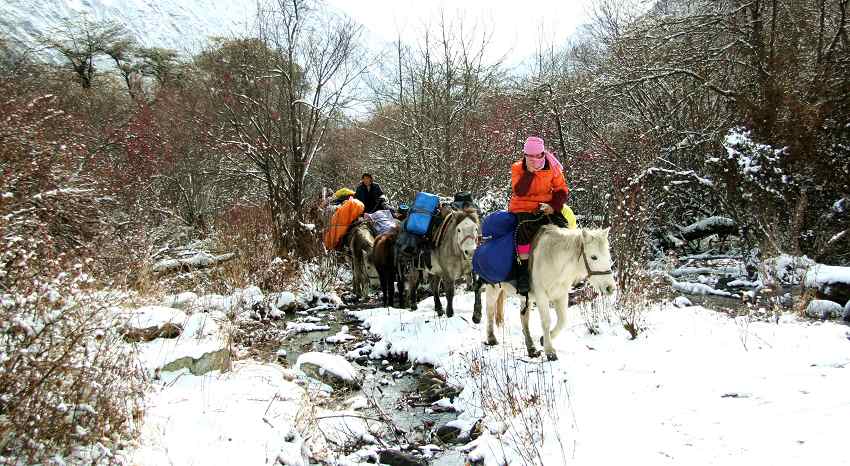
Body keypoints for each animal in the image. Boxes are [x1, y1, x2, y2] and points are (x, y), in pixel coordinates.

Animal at [474, 227, 612, 360]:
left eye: (608, 256)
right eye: (594, 257)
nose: (610, 288)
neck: (555, 261)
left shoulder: (561, 296)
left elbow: (562, 321)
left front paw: (543, 340)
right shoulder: (542, 296)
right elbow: (546, 321)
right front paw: (550, 351)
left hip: (524, 297)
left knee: (524, 318)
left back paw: (532, 349)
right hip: (493, 287)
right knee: (489, 309)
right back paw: (489, 335)